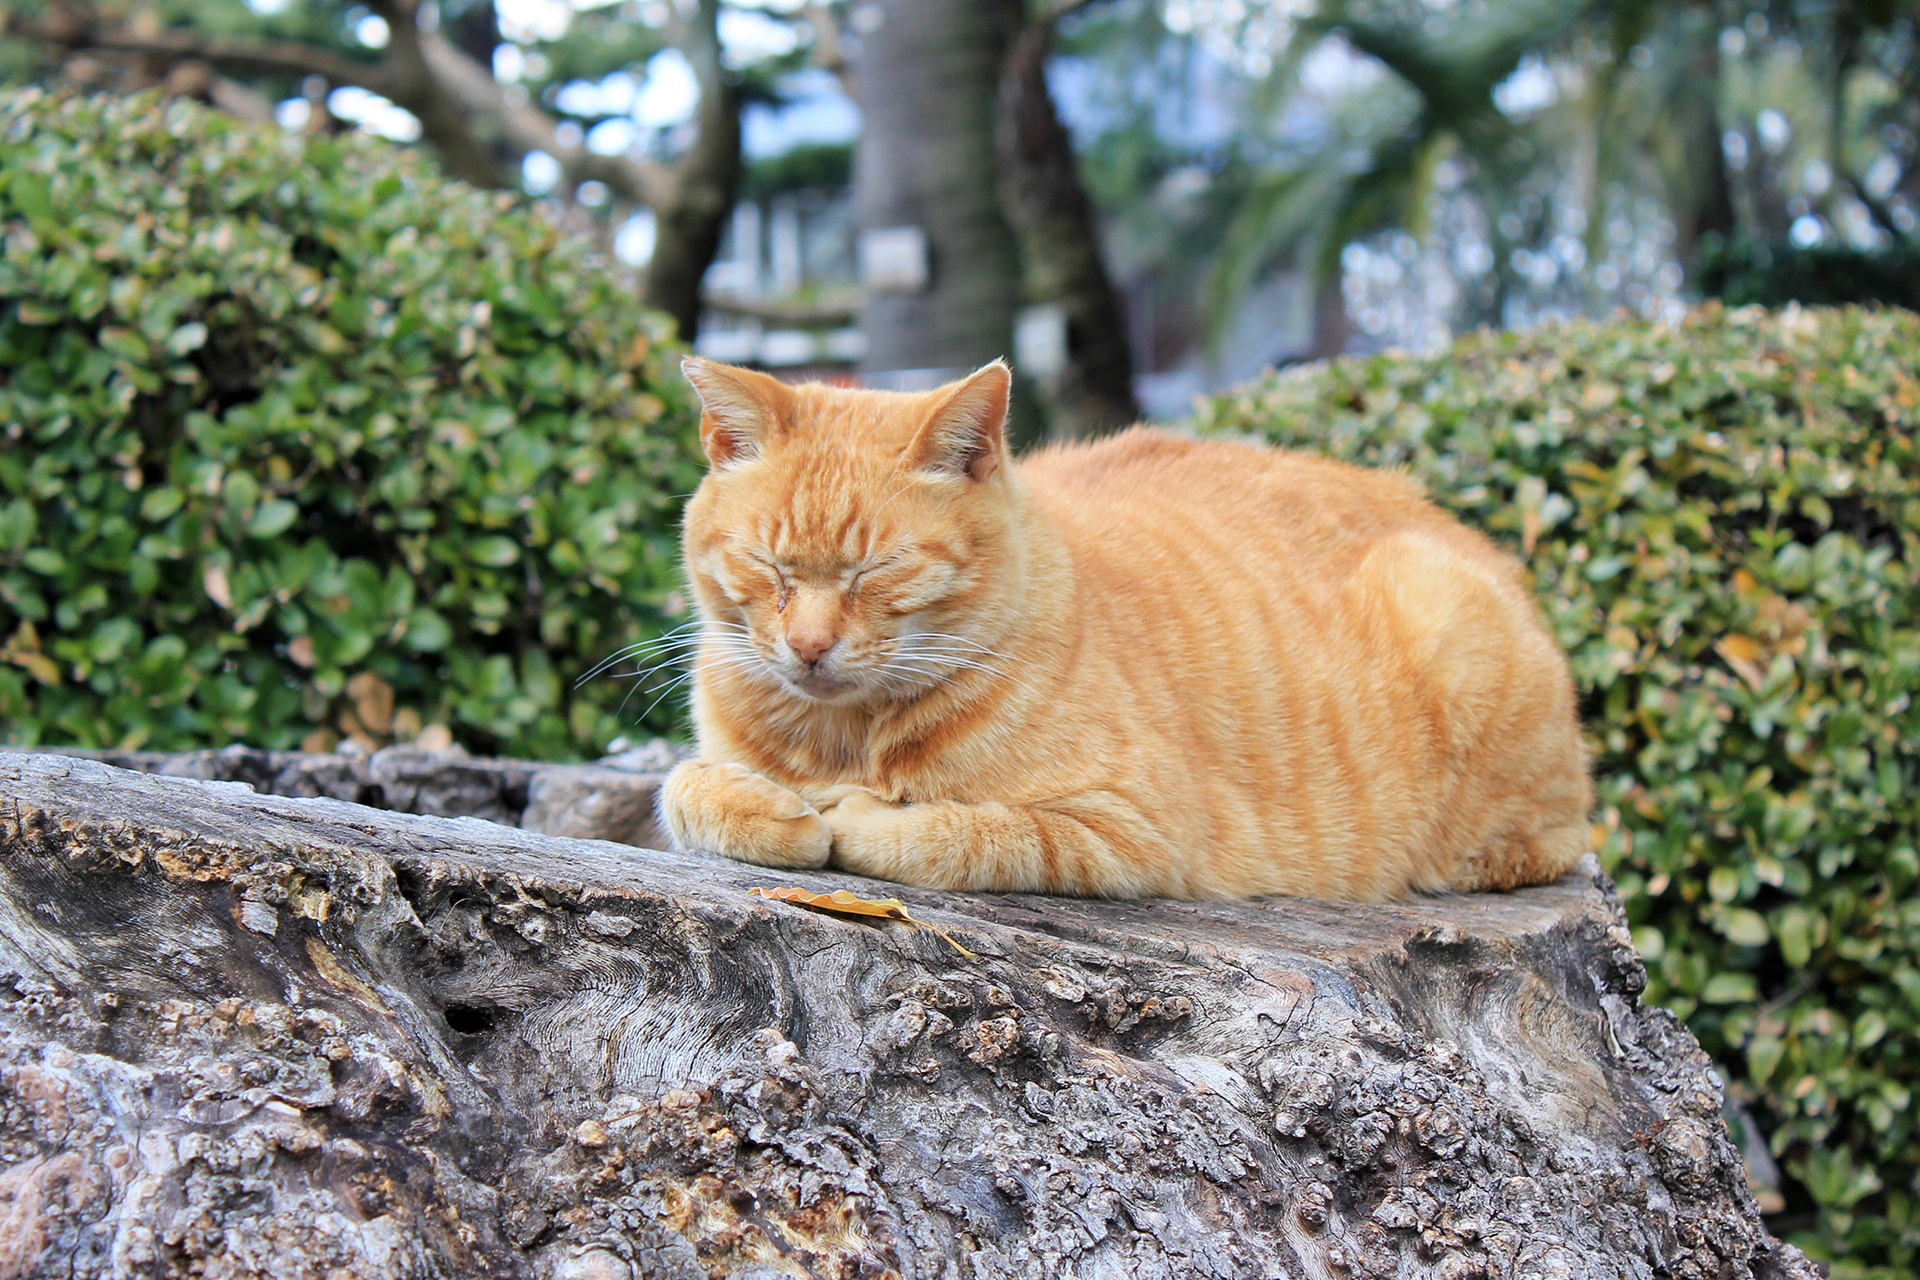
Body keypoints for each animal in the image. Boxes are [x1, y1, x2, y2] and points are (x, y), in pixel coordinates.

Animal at [660, 358, 1589, 901]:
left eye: (874, 570)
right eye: (767, 566)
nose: (809, 647)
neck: (843, 739)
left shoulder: (1126, 831)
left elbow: (962, 830)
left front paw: (848, 816)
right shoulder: (707, 761)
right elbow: (685, 787)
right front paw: (775, 811)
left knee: (1551, 844)